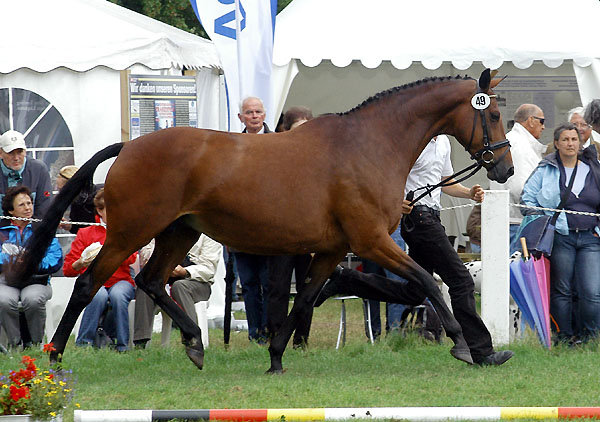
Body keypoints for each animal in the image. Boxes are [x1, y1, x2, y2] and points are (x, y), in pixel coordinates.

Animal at [11, 68, 510, 372]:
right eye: (493, 112)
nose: (503, 167)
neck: (369, 144)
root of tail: (131, 146)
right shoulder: (370, 242)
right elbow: (427, 282)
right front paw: (464, 346)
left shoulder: (332, 250)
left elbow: (304, 298)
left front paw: (274, 357)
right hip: (130, 233)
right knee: (87, 284)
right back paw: (55, 357)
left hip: (179, 232)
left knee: (151, 281)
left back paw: (194, 343)